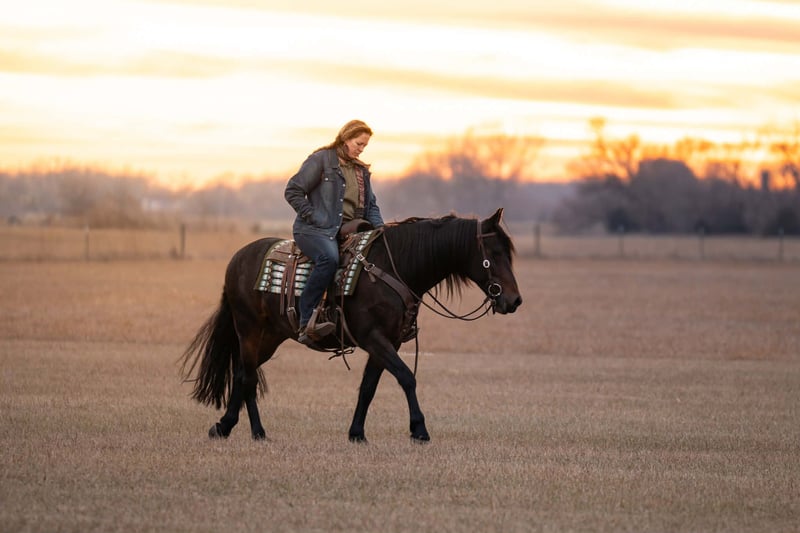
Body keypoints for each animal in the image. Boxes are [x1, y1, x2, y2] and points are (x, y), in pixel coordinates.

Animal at [180, 208, 522, 443]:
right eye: (494, 253)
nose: (514, 300)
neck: (393, 268)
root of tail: (237, 258)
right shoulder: (374, 338)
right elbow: (406, 377)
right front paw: (419, 429)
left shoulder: (387, 342)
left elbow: (369, 387)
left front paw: (357, 432)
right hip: (249, 330)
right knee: (248, 377)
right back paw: (251, 430)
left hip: (270, 337)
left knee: (241, 375)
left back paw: (230, 427)